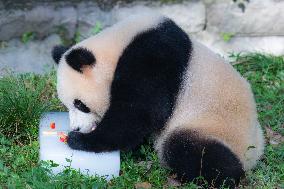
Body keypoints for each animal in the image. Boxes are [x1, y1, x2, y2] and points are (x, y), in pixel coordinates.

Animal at [51, 12, 264, 188]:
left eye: (80, 104)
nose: (76, 128)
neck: (118, 45)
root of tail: (255, 152)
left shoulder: (153, 59)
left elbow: (138, 113)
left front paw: (80, 140)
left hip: (213, 126)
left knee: (189, 149)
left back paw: (221, 177)